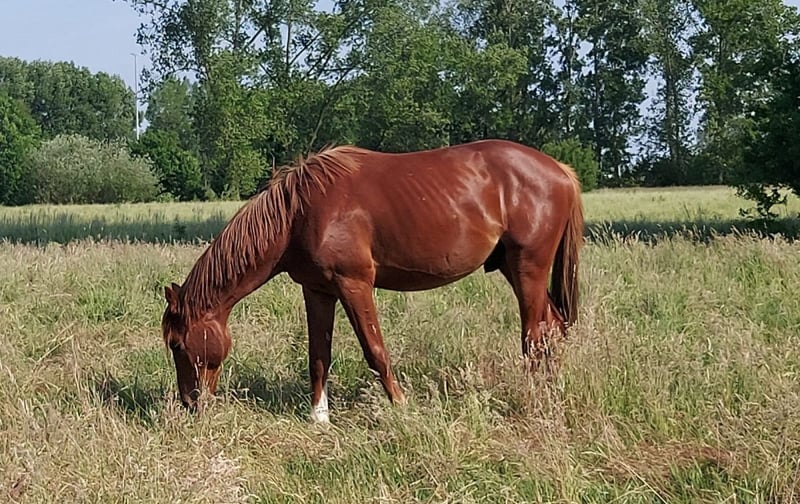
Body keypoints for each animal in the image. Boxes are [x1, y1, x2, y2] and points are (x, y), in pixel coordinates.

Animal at [161, 139, 584, 423]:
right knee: (552, 328)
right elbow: (319, 355)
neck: (299, 213)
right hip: (515, 269)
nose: (191, 404)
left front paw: (400, 407)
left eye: (177, 344)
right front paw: (319, 418)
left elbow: (375, 350)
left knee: (534, 337)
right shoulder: (317, 290)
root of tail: (560, 170)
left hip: (528, 268)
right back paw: (552, 391)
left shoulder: (354, 285)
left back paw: (532, 399)